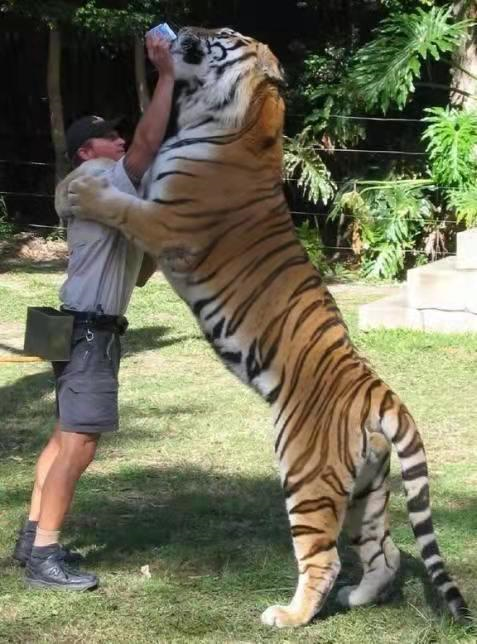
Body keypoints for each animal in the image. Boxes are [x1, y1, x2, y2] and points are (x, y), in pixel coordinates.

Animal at [55, 26, 468, 628]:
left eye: (224, 36)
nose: (185, 31)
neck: (237, 120)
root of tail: (381, 392)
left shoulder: (167, 222)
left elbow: (120, 206)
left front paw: (79, 192)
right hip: (366, 489)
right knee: (384, 552)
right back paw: (357, 598)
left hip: (306, 473)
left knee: (323, 559)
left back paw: (289, 615)